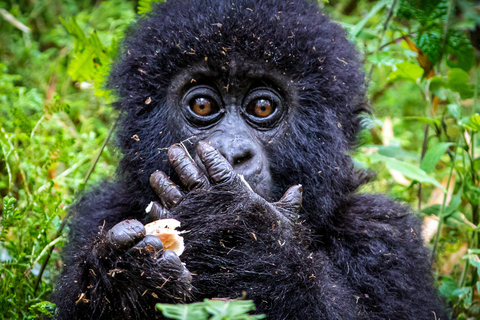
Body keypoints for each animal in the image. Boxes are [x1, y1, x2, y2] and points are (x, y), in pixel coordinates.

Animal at [52, 0, 450, 318]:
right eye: (202, 105)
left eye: (262, 107)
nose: (232, 153)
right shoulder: (100, 212)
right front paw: (125, 276)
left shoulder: (385, 237)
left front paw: (235, 226)